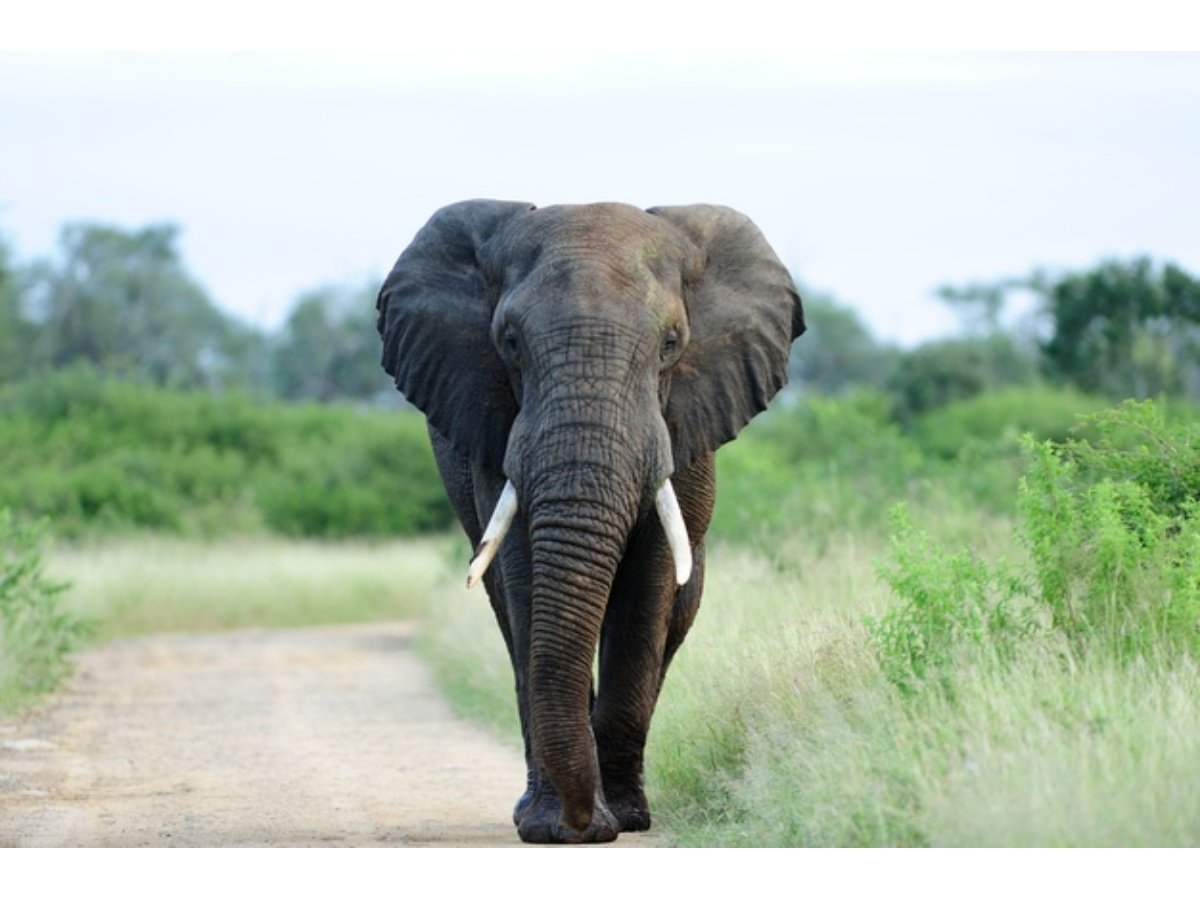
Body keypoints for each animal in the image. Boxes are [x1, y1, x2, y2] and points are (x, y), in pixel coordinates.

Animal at [376, 200, 804, 843]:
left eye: (671, 343)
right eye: (509, 342)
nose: (583, 827)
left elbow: (648, 589)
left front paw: (621, 820)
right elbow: (525, 571)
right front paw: (556, 829)